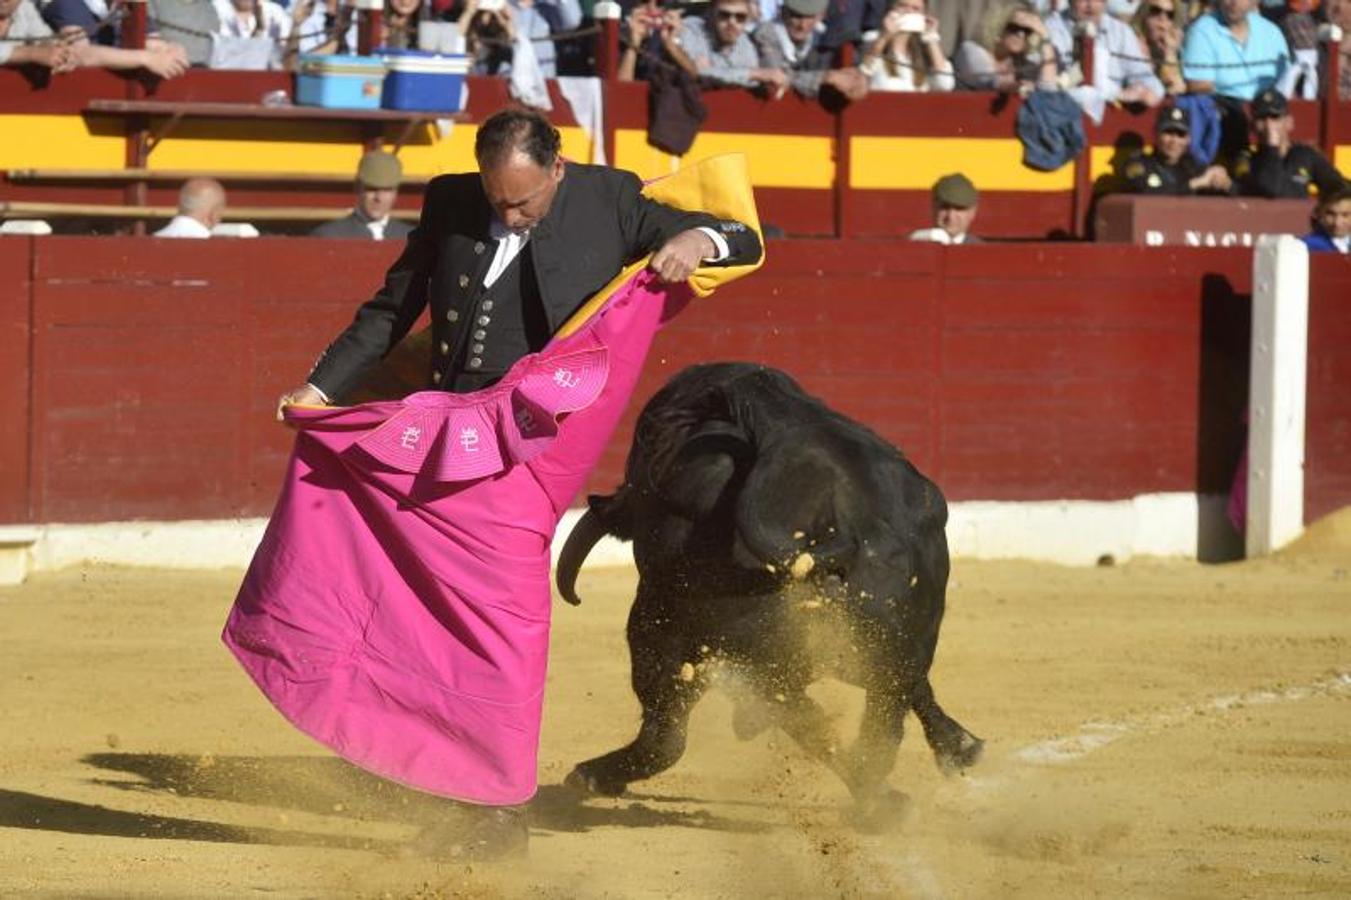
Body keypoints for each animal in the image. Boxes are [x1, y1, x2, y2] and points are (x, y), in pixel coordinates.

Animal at [553, 362, 988, 821]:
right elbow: (916, 687)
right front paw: (962, 747)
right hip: (887, 640)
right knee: (879, 716)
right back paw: (899, 790)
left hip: (673, 632)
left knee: (676, 733)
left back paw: (590, 775)